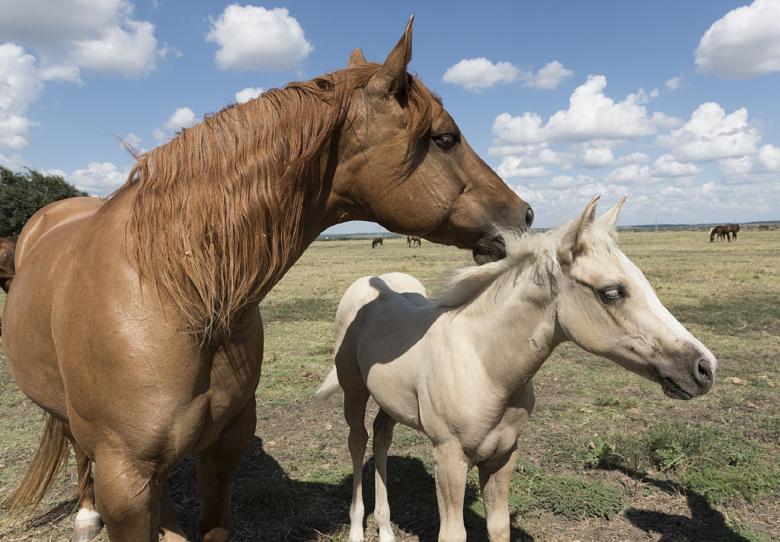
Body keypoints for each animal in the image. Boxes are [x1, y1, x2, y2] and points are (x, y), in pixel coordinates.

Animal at [1, 18, 533, 542]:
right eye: (445, 138)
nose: (525, 214)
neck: (175, 294)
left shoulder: (222, 452)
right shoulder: (124, 476)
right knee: (76, 444)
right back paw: (86, 514)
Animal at [317, 196, 717, 542]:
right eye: (612, 292)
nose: (704, 368)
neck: (485, 365)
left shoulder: (503, 455)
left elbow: (499, 526)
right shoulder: (449, 458)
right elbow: (453, 534)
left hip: (391, 401)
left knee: (382, 437)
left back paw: (385, 529)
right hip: (354, 390)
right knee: (358, 440)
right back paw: (357, 530)